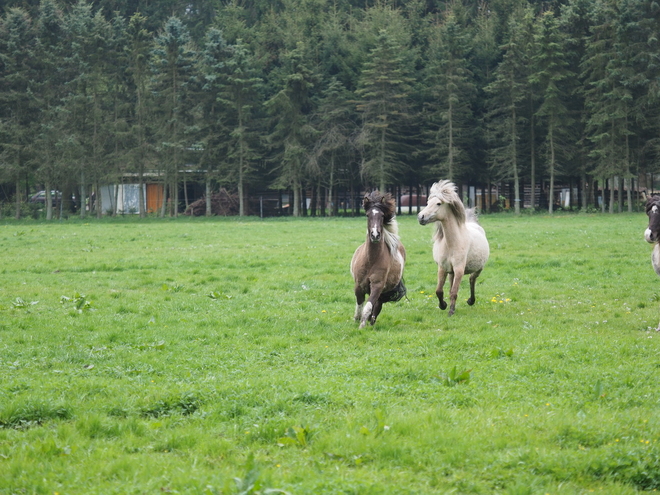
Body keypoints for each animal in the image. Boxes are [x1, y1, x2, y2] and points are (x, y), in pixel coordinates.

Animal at [354, 191, 404, 330]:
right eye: (367, 215)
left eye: (382, 215)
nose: (375, 235)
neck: (371, 260)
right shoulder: (359, 285)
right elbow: (359, 304)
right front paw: (356, 320)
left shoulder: (377, 285)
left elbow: (368, 307)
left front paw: (362, 326)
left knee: (377, 306)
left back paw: (371, 323)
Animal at [420, 180, 488, 316]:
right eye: (428, 202)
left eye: (438, 203)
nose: (421, 217)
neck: (452, 244)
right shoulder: (443, 268)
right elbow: (439, 291)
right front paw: (443, 305)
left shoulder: (459, 270)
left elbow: (454, 292)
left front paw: (451, 311)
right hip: (451, 272)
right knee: (453, 284)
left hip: (479, 268)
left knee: (472, 279)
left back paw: (471, 301)